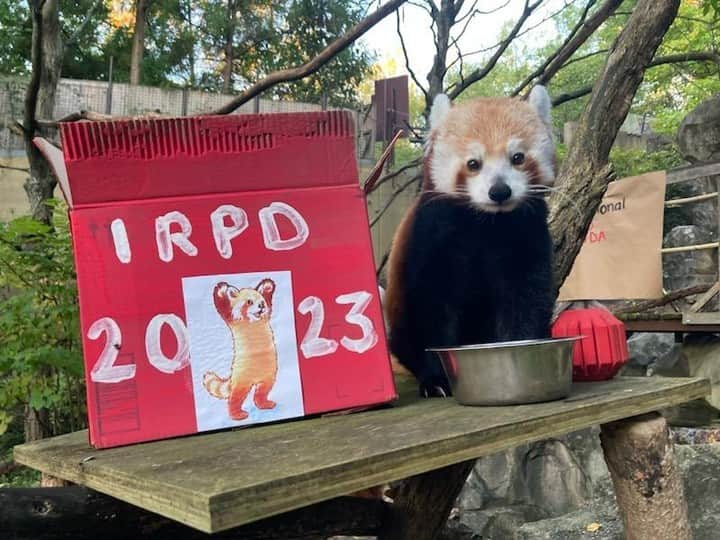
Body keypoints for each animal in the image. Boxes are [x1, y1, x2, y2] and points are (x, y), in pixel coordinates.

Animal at [386, 85, 556, 396]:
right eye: (473, 164)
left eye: (517, 157)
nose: (499, 191)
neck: (486, 224)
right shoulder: (435, 237)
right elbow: (432, 310)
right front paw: (436, 379)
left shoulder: (526, 234)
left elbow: (525, 299)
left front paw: (521, 349)